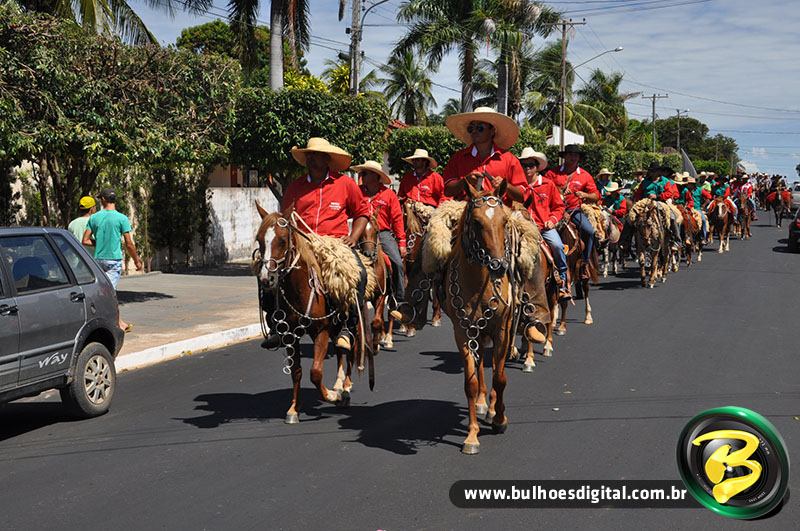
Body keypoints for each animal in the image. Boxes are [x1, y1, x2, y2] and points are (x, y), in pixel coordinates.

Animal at [253, 202, 371, 424]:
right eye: (260, 240)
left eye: (283, 240)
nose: (266, 278)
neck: (300, 290)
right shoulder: (290, 335)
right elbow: (296, 372)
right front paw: (294, 409)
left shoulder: (321, 331)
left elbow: (315, 372)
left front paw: (332, 396)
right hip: (334, 328)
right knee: (341, 352)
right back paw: (339, 384)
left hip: (349, 323)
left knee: (350, 350)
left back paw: (345, 389)